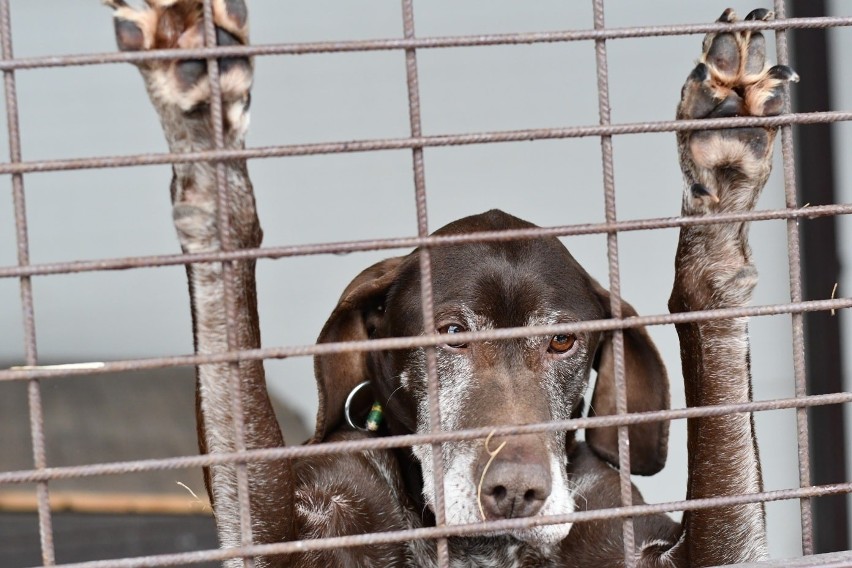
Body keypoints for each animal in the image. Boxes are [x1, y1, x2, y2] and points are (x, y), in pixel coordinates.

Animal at [108, 2, 800, 564]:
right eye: (450, 333)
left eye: (564, 342)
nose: (515, 491)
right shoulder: (284, 529)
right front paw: (204, 115)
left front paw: (722, 169)